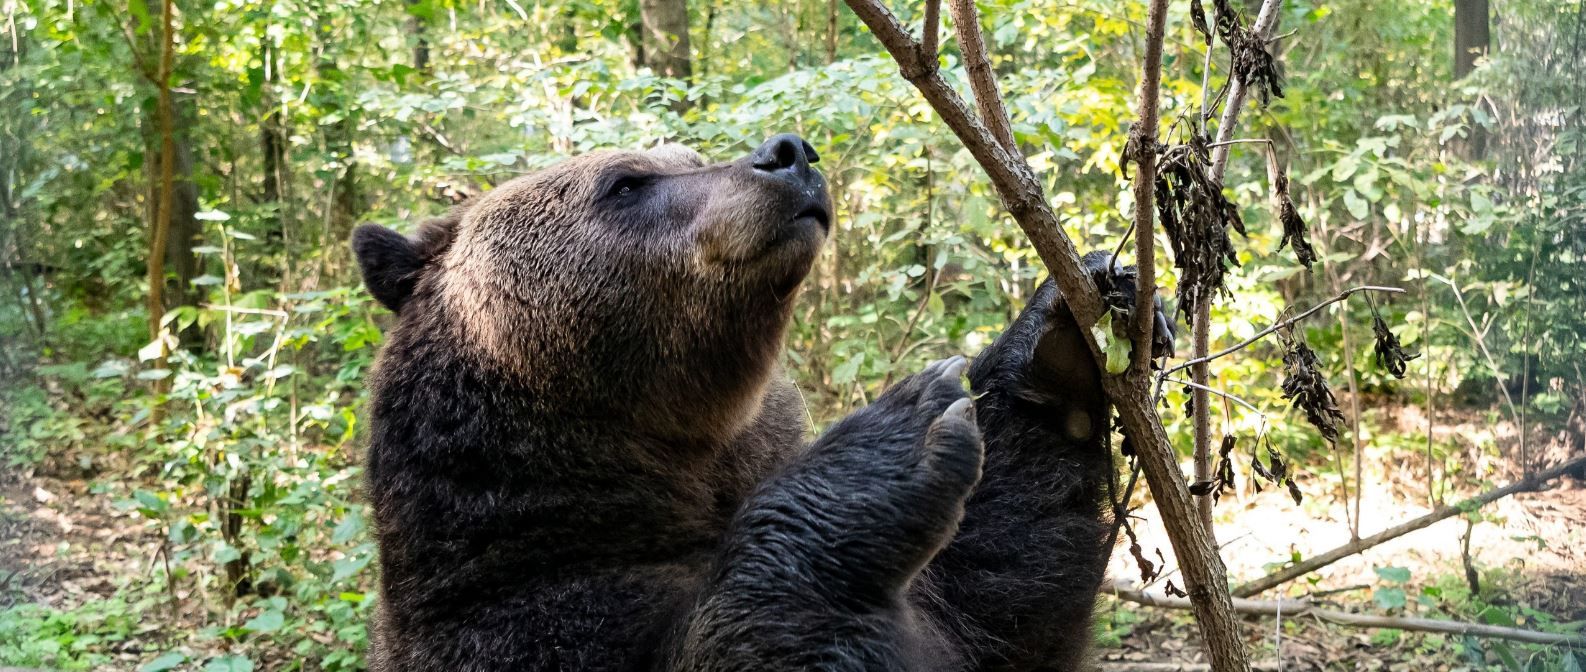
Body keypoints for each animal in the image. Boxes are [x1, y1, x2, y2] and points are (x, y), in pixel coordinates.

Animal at [353, 133, 1135, 668]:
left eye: (689, 153)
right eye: (625, 183)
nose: (787, 152)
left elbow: (999, 596)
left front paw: (1062, 332)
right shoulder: (522, 615)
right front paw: (897, 430)